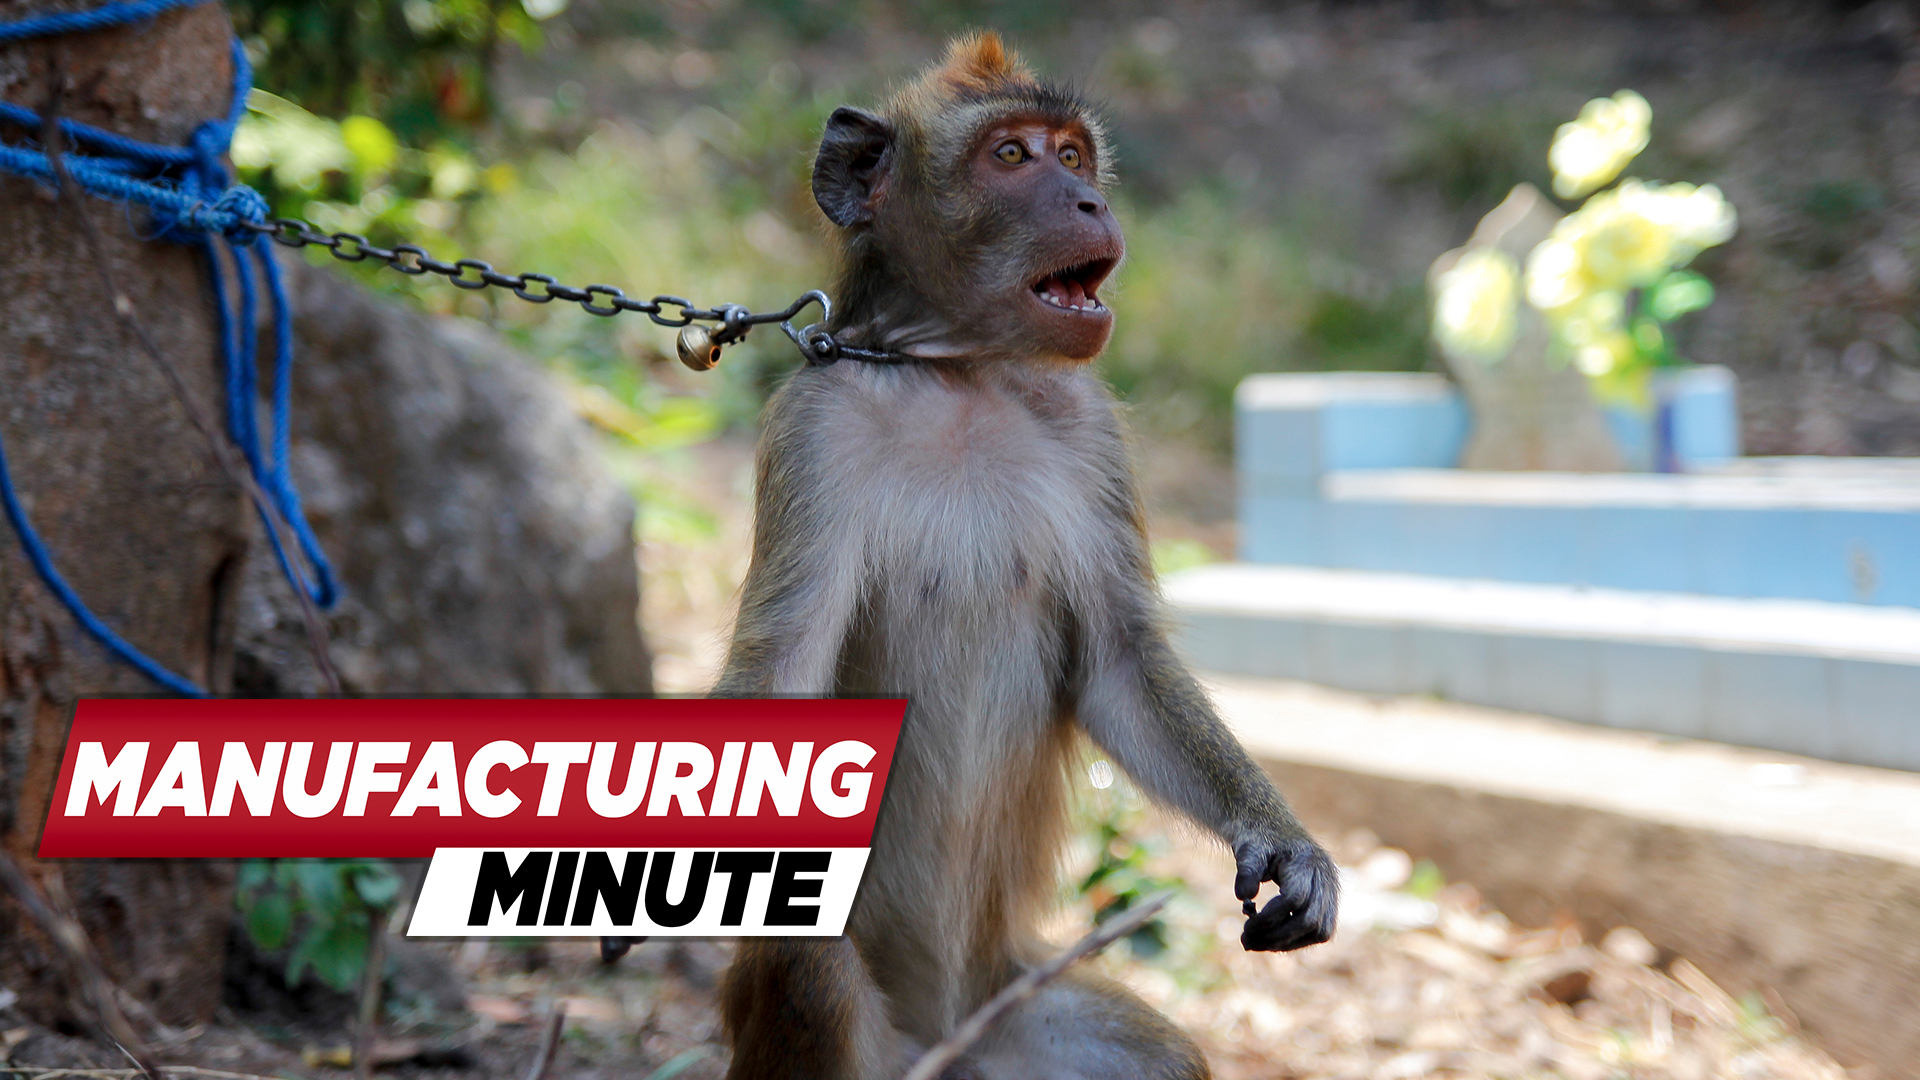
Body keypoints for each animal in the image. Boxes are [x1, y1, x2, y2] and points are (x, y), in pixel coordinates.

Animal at [713, 33, 1337, 1080]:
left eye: (1074, 156)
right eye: (1011, 156)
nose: (1088, 203)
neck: (958, 375)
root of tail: (942, 1039)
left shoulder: (1092, 432)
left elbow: (1119, 666)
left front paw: (1284, 844)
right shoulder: (813, 427)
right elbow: (785, 665)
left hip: (1014, 1016)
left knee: (1156, 1060)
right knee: (810, 970)